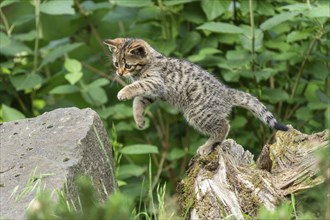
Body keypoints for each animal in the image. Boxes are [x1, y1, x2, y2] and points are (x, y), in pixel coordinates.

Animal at [104, 37, 288, 155]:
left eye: (128, 65)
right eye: (116, 64)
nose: (119, 73)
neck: (151, 61)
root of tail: (226, 92)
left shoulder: (156, 82)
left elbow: (136, 87)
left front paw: (123, 92)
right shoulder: (152, 93)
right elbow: (138, 101)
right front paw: (139, 120)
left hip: (197, 113)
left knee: (224, 126)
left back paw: (207, 147)